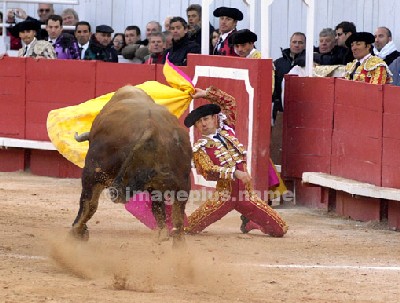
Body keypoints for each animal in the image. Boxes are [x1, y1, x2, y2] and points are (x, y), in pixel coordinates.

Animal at [71, 85, 192, 245]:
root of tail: (152, 128)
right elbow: (159, 209)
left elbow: (88, 203)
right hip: (181, 181)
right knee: (176, 216)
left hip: (93, 170)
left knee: (88, 202)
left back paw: (76, 231)